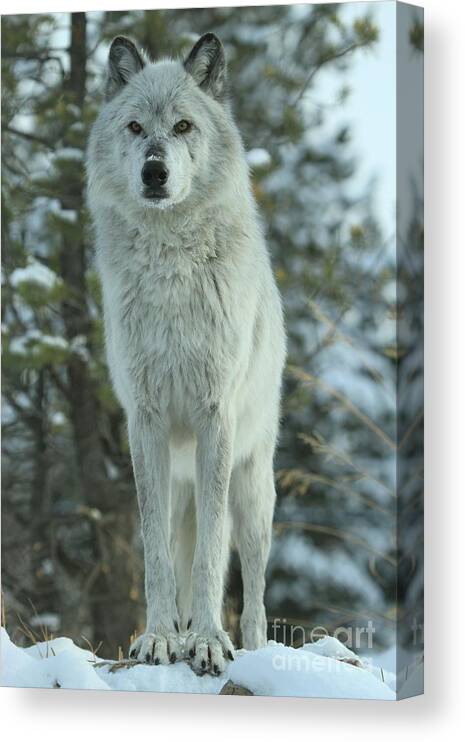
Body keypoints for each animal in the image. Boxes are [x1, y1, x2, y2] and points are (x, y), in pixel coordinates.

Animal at [85, 33, 284, 676]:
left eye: (182, 125)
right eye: (134, 126)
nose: (155, 171)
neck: (170, 267)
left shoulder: (213, 417)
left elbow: (212, 557)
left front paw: (207, 641)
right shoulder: (144, 423)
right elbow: (155, 558)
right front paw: (158, 638)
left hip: (252, 490)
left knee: (253, 587)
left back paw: (250, 649)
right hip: (178, 489)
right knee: (174, 549)